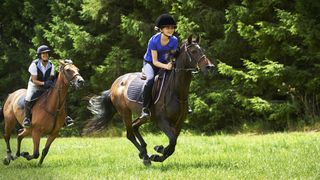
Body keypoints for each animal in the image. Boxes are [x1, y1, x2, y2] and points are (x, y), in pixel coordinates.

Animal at [86, 35, 214, 166]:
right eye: (193, 51)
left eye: (203, 50)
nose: (210, 67)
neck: (176, 93)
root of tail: (114, 85)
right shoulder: (162, 121)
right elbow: (172, 141)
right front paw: (158, 150)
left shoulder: (179, 123)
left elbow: (172, 145)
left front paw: (158, 154)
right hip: (125, 112)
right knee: (130, 134)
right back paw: (145, 156)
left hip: (146, 117)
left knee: (135, 126)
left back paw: (144, 152)